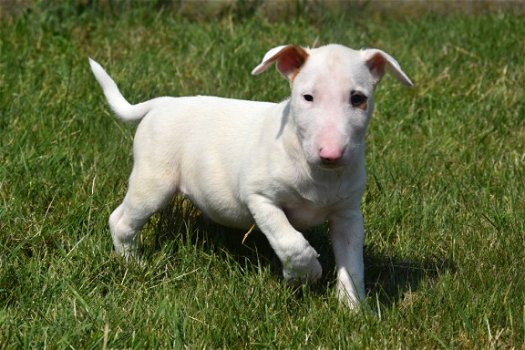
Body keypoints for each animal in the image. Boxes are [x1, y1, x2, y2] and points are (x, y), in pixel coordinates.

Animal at [88, 44, 412, 308]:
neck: (317, 174)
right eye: (307, 97)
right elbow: (290, 241)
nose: (330, 154)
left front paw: (354, 309)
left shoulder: (348, 215)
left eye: (358, 98)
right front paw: (303, 275)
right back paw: (134, 263)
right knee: (121, 220)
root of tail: (163, 103)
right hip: (154, 180)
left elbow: (353, 264)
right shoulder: (259, 198)